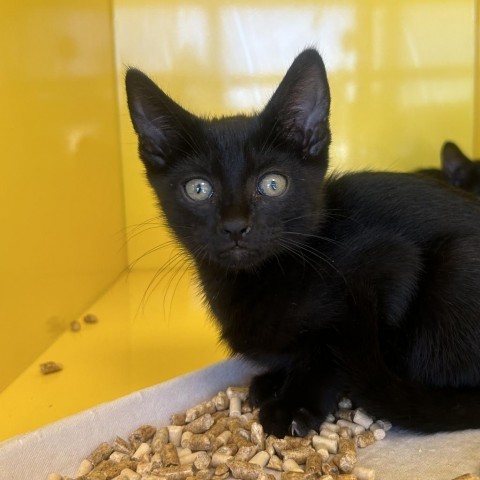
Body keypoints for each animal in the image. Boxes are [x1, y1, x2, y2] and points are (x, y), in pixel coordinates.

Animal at [125, 49, 480, 438]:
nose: (235, 226)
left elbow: (325, 353)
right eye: (198, 189)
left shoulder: (390, 263)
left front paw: (294, 404)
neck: (263, 278)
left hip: (456, 265)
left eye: (273, 184)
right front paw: (272, 381)